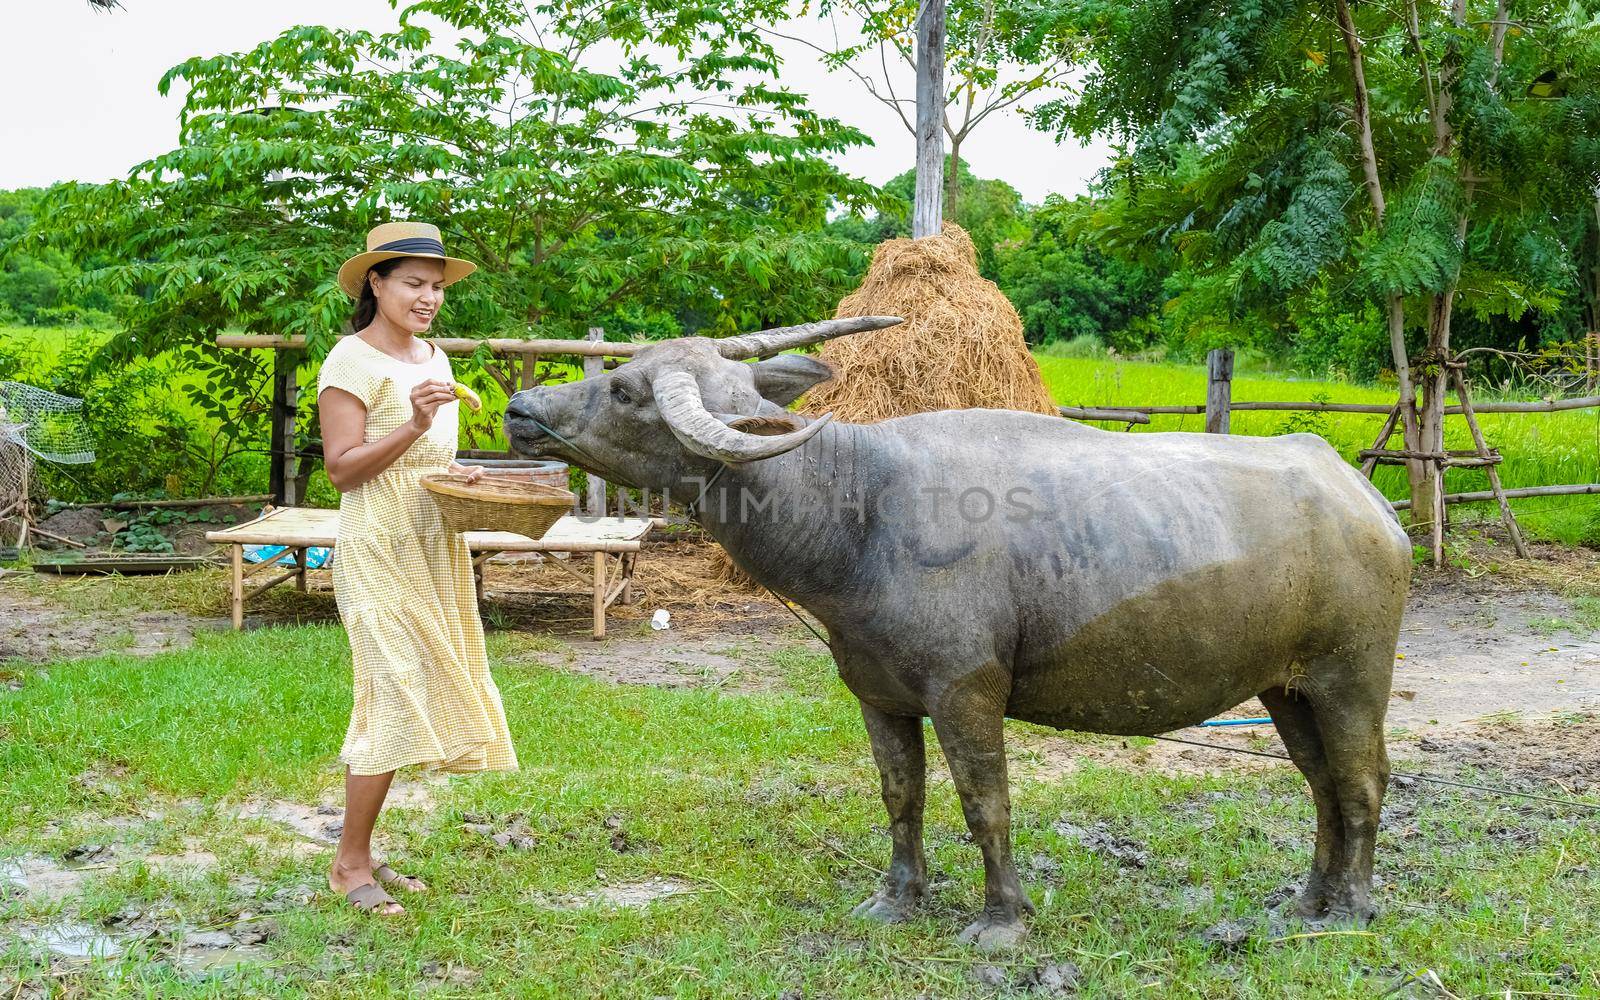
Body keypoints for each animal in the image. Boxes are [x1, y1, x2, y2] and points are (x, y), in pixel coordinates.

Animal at [502, 318, 1414, 940]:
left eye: (626, 391)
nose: (520, 406)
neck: (859, 513)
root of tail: (1365, 497)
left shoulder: (966, 692)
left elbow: (986, 803)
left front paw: (1001, 919)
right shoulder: (878, 695)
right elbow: (901, 797)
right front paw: (895, 900)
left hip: (1351, 680)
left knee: (1363, 781)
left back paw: (1353, 909)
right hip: (1287, 688)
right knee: (1322, 786)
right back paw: (1306, 901)